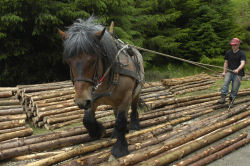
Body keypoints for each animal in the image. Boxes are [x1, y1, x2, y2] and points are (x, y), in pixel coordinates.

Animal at [58, 16, 145, 158]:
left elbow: (121, 121)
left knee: (133, 107)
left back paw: (134, 124)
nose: (80, 101)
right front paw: (98, 131)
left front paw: (120, 148)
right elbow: (87, 119)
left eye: (93, 61)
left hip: (136, 92)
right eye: (68, 62)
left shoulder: (126, 97)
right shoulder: (91, 98)